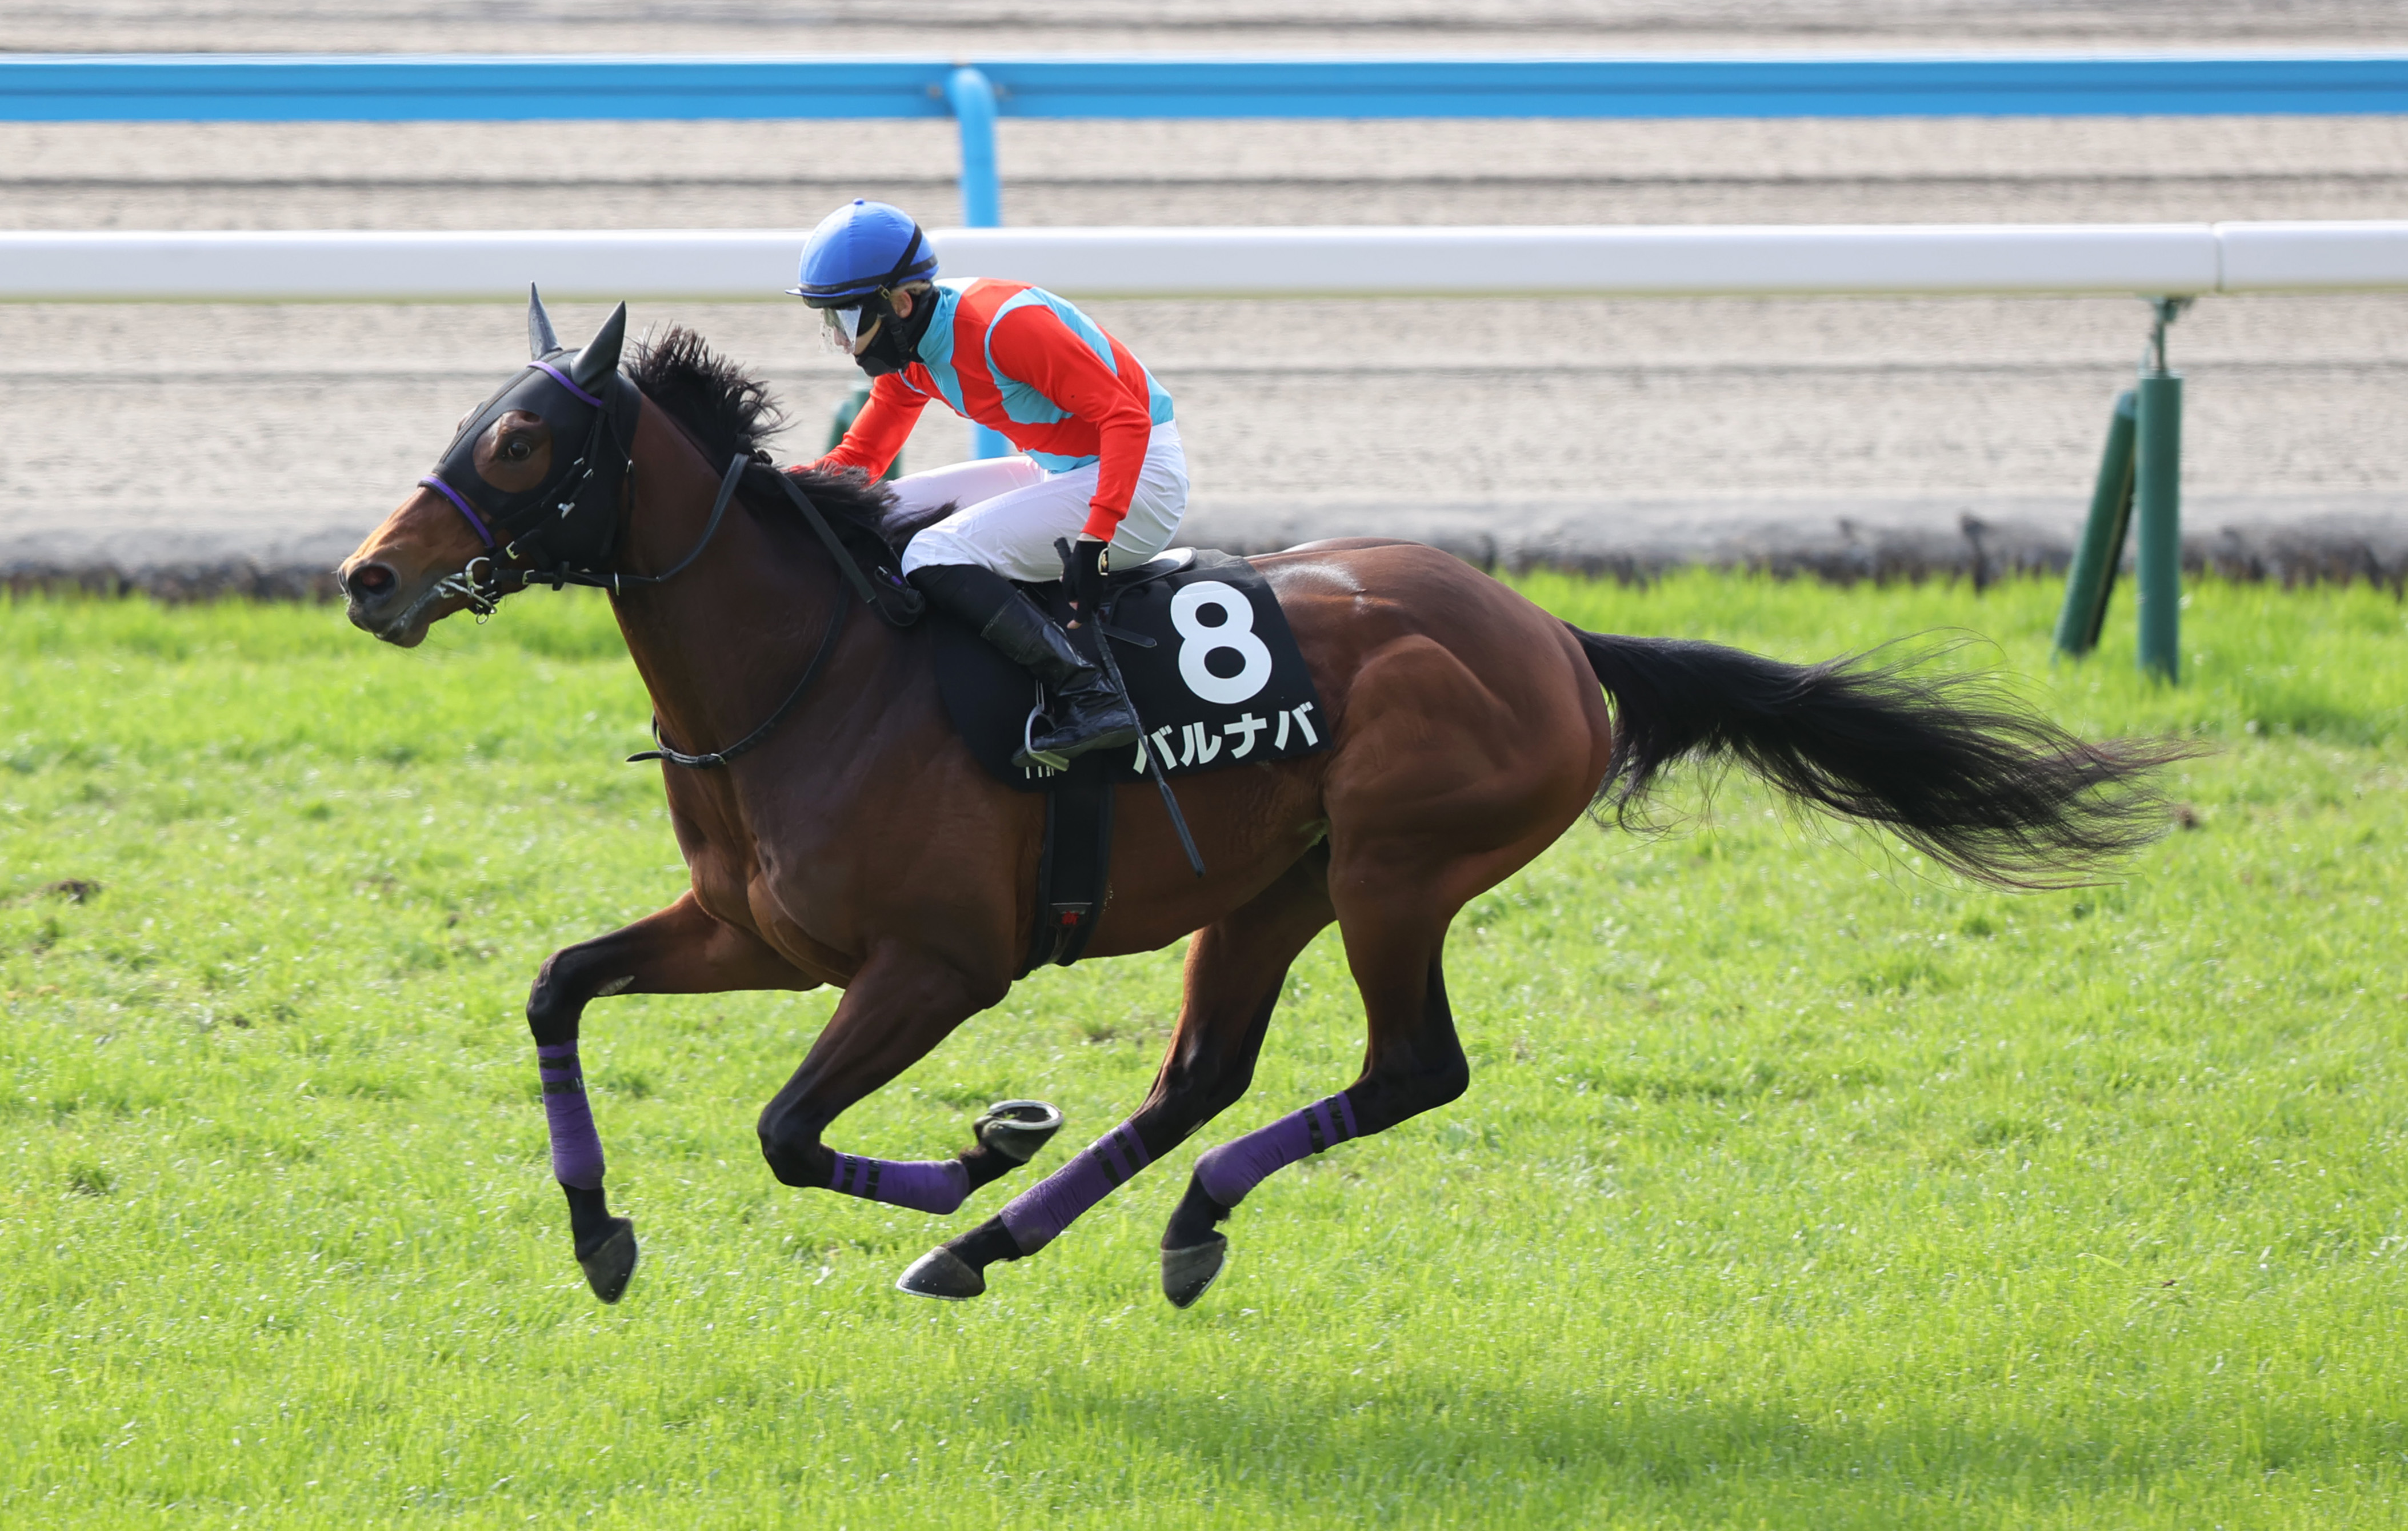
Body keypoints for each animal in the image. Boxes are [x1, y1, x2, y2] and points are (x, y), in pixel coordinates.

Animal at [337, 295, 2185, 1309]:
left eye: (522, 445)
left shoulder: (938, 963)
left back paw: (1073, 1219)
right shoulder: (756, 933)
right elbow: (557, 984)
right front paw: (598, 1229)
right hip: (1269, 883)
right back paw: (1005, 1243)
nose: (368, 577)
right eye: (471, 421)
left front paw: (977, 1137)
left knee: (1409, 1067)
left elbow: (790, 1131)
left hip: (1396, 868)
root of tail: (1552, 631)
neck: (813, 672)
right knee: (1200, 1075)